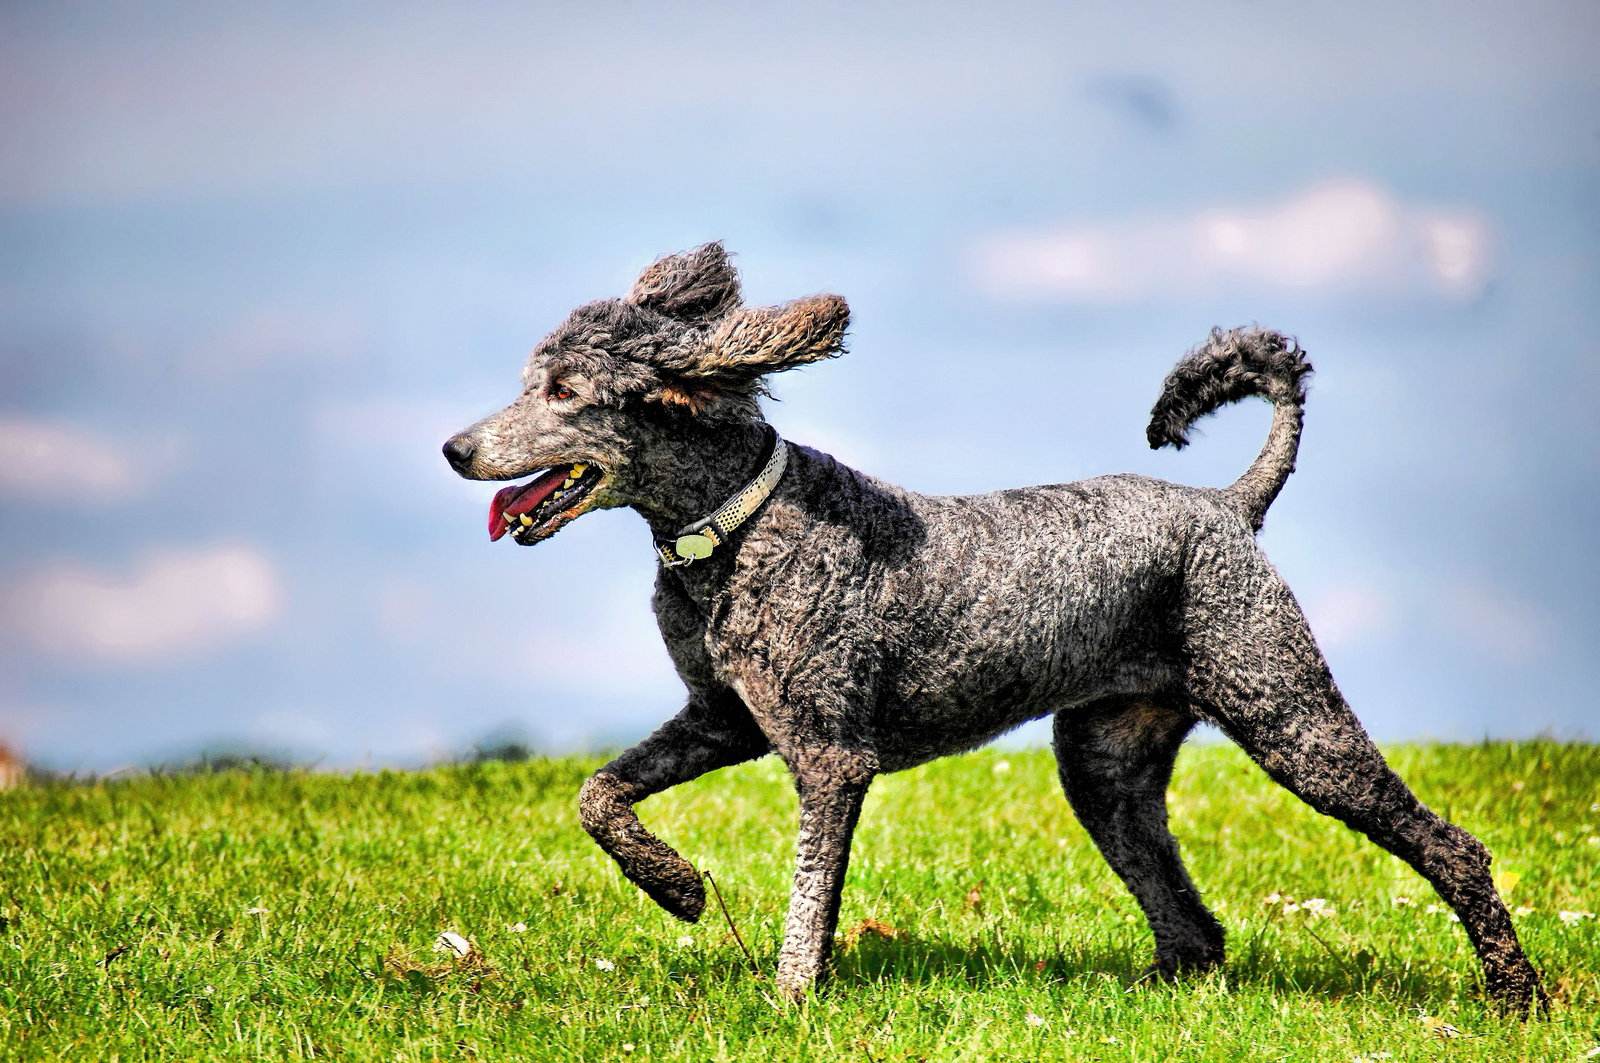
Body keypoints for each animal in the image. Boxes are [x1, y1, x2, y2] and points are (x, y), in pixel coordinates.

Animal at [444, 244, 1542, 1011]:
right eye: (532, 379)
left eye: (563, 392)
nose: (455, 448)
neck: (739, 527)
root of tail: (1226, 504)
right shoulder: (725, 719)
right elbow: (598, 795)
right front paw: (675, 887)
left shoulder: (829, 756)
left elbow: (809, 895)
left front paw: (789, 1000)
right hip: (1105, 764)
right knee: (1191, 923)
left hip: (1289, 716)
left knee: (1453, 848)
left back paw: (1514, 993)